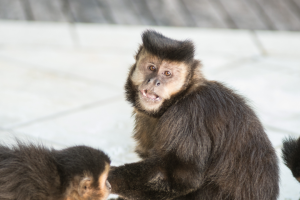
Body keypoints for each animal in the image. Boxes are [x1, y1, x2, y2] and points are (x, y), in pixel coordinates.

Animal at [108, 30, 278, 200]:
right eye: (151, 67)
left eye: (167, 73)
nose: (154, 81)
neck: (181, 97)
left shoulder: (186, 116)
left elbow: (180, 178)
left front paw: (110, 178)